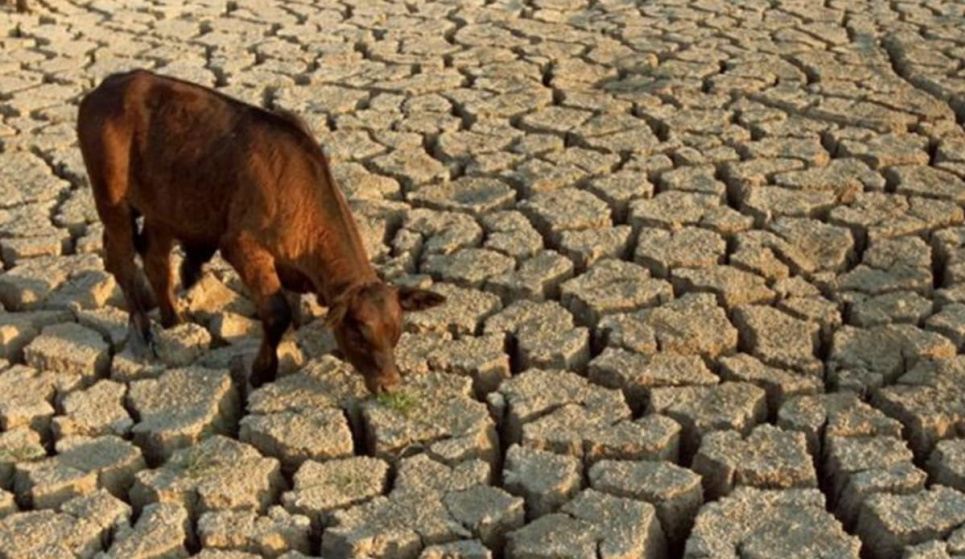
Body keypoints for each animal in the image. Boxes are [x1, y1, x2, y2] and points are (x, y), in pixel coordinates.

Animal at [75, 70, 444, 394]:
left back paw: (173, 321)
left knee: (155, 259)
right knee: (122, 258)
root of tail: (108, 85)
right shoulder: (242, 246)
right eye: (357, 334)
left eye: (396, 332)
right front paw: (262, 372)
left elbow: (290, 308)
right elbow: (277, 313)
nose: (389, 385)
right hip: (111, 197)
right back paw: (143, 332)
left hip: (163, 205)